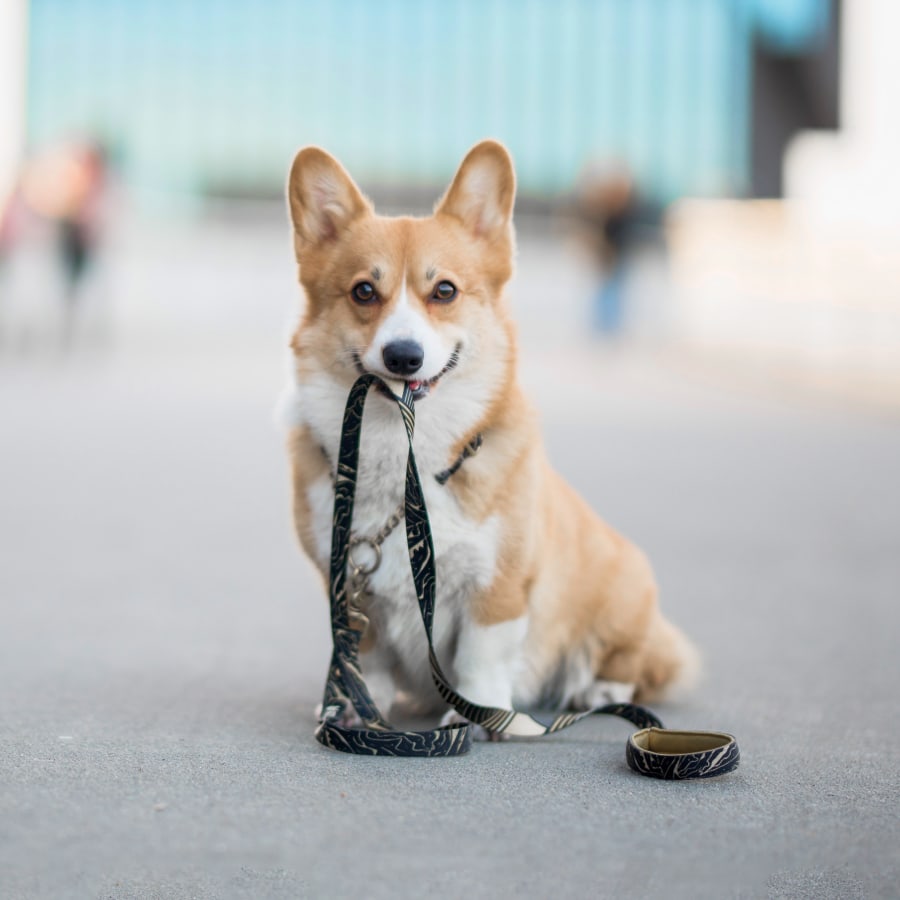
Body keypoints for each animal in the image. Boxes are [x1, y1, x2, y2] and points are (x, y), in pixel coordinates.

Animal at [282, 142, 696, 732]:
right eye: (364, 291)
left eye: (444, 291)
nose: (403, 356)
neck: (406, 461)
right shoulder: (349, 588)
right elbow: (369, 654)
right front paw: (360, 708)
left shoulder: (499, 586)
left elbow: (481, 656)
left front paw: (477, 715)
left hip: (622, 588)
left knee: (636, 661)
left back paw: (597, 688)